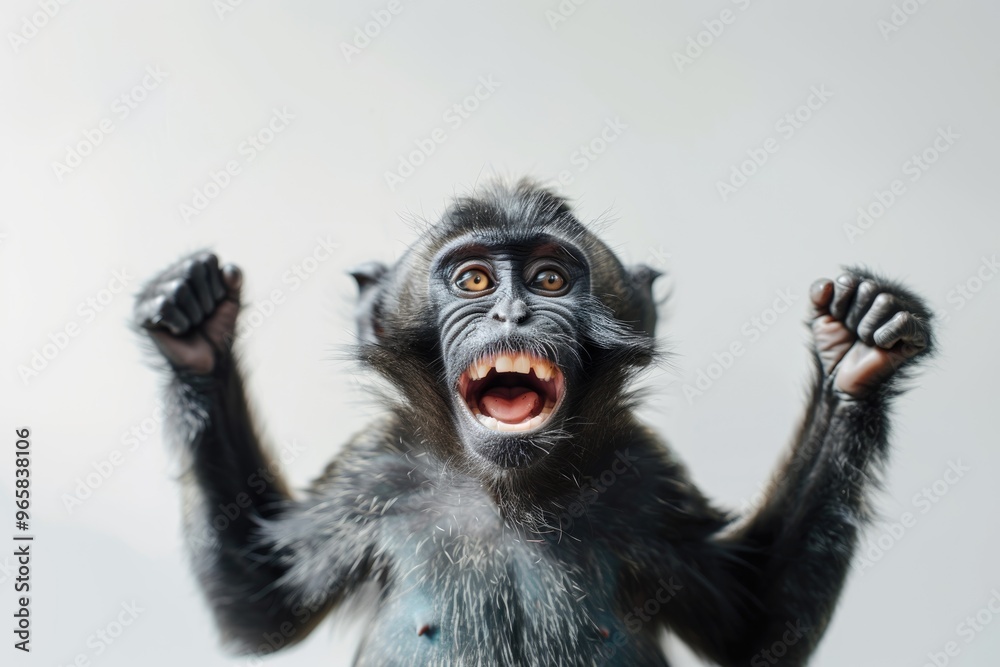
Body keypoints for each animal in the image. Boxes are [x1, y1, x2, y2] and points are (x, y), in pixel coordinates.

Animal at [134, 180, 934, 666]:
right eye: (474, 279)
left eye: (550, 278)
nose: (514, 313)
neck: (509, 490)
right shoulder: (375, 472)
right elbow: (260, 602)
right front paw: (196, 335)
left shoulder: (644, 479)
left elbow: (758, 625)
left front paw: (855, 355)